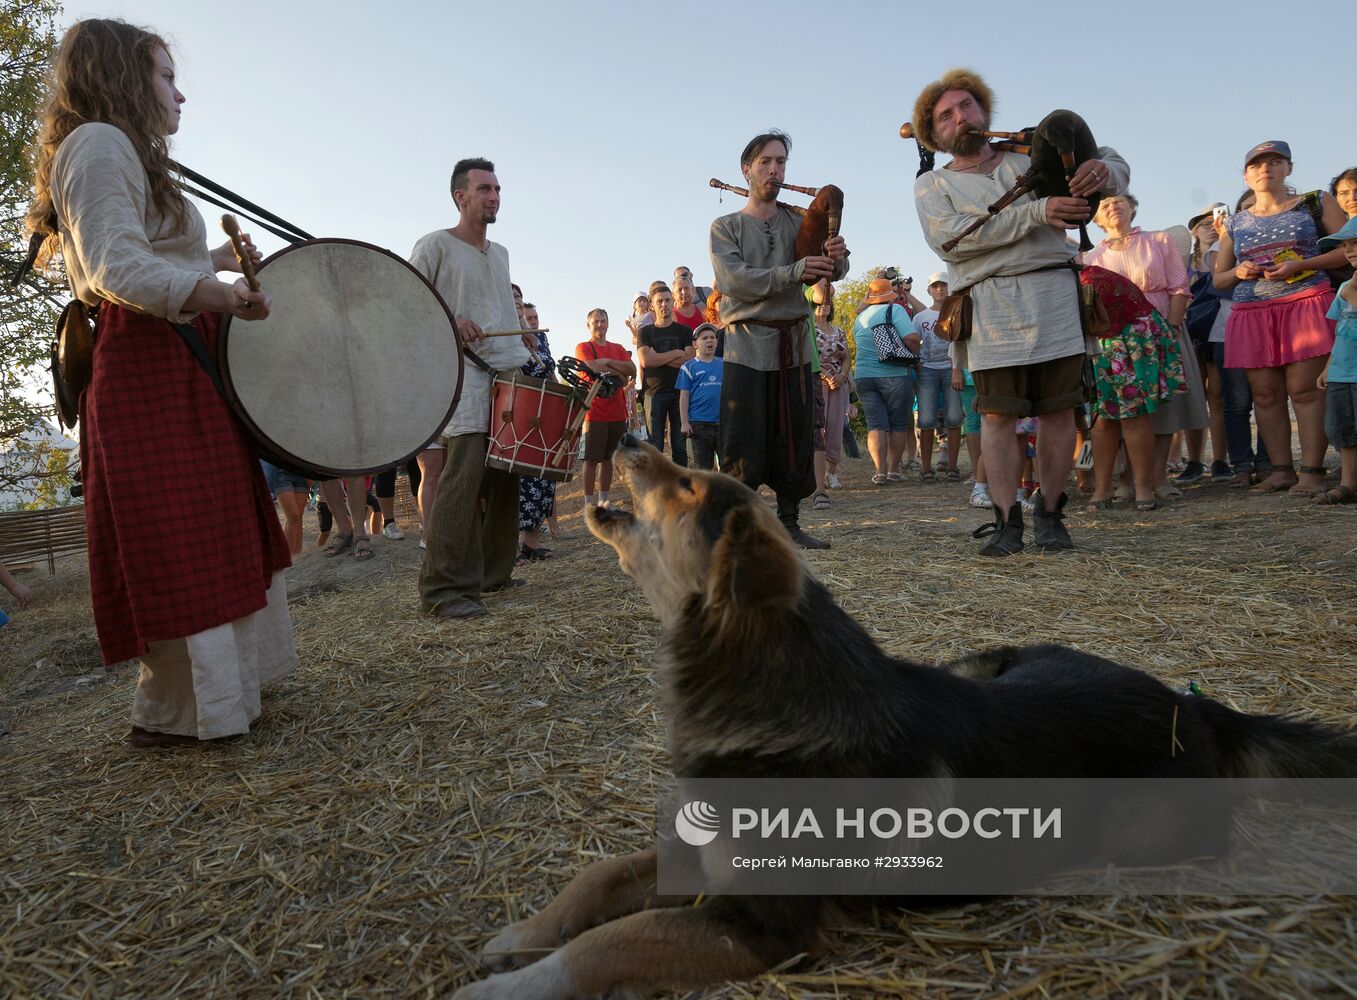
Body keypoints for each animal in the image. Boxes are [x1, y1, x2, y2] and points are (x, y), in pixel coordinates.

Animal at [455, 436, 1357, 998]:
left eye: (688, 486)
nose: (632, 431)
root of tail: (1187, 703)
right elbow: (600, 878)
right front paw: (523, 933)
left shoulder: (758, 926)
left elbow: (608, 941)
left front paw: (510, 986)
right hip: (985, 659)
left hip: (1142, 829)